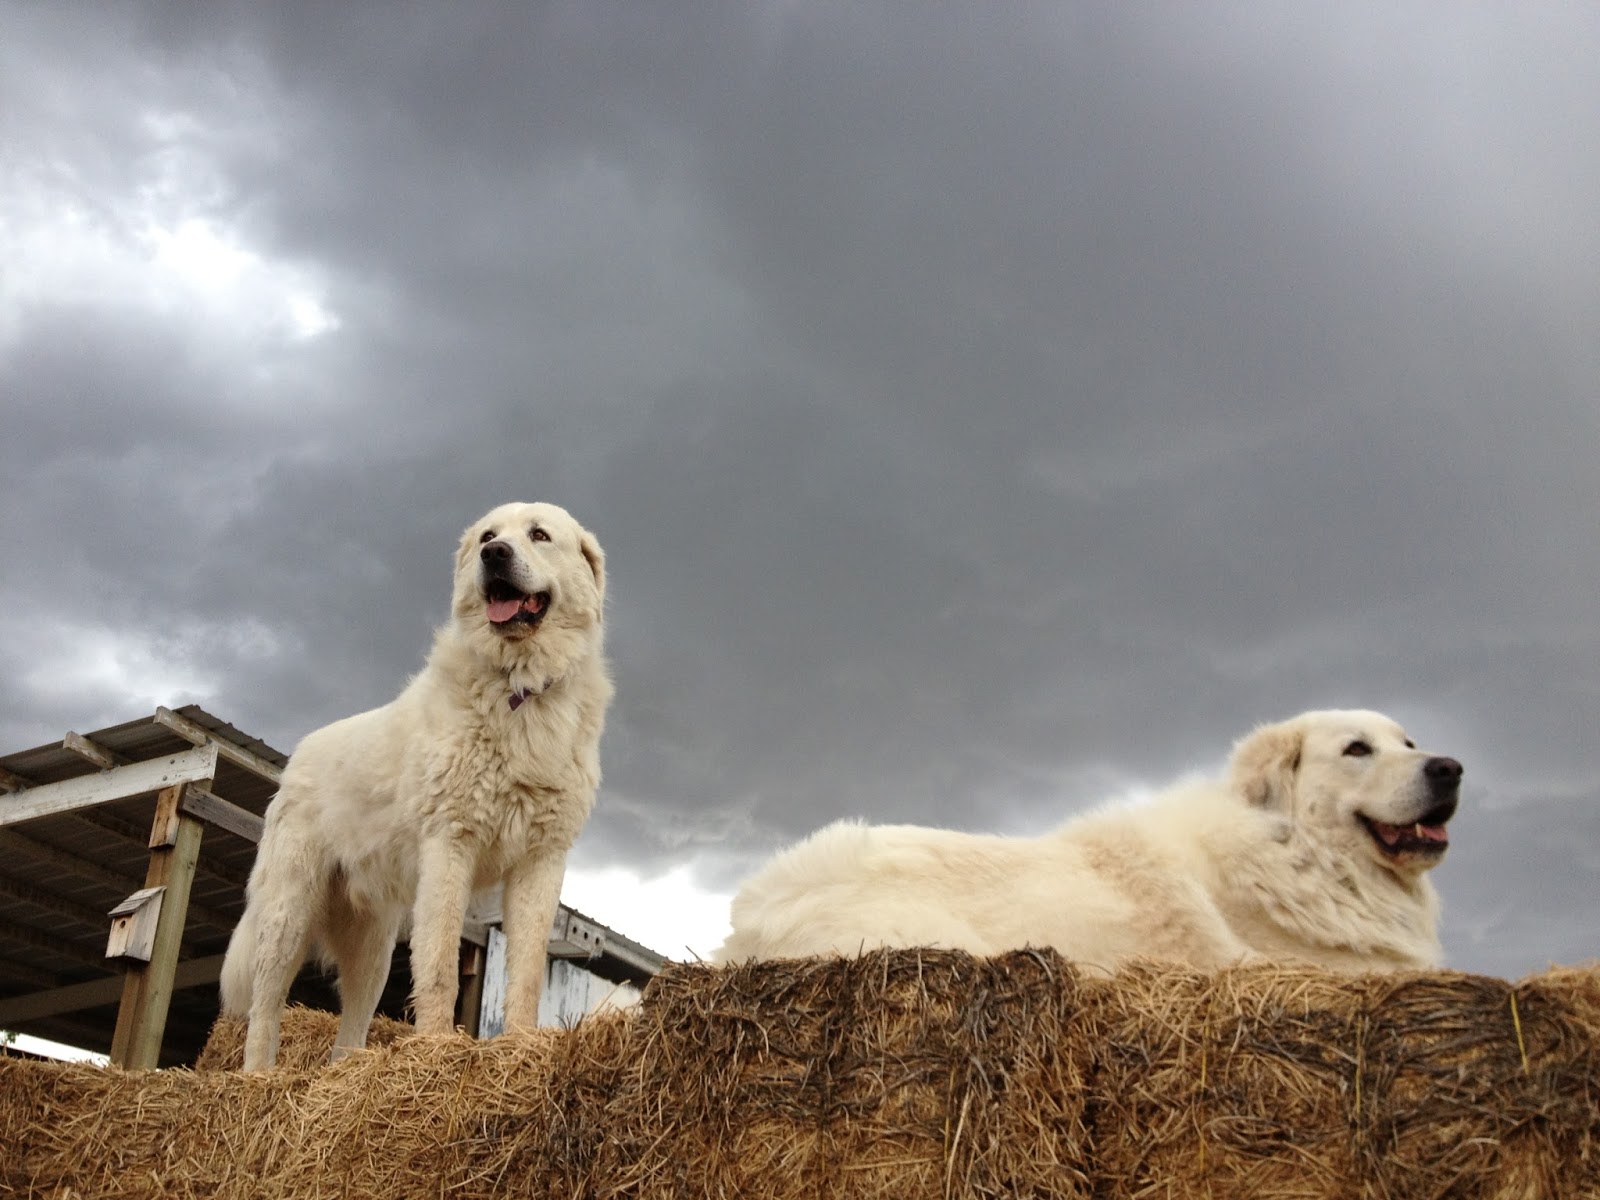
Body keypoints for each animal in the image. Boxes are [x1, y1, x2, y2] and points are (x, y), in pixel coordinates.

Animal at [228, 502, 614, 1068]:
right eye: (488, 535)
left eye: (540, 535)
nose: (494, 555)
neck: (518, 688)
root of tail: (298, 755)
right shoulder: (450, 845)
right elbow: (439, 968)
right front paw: (436, 1049)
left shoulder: (542, 859)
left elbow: (525, 975)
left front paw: (521, 1043)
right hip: (287, 914)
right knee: (265, 1006)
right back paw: (259, 1078)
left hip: (374, 944)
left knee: (352, 1023)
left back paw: (348, 1072)